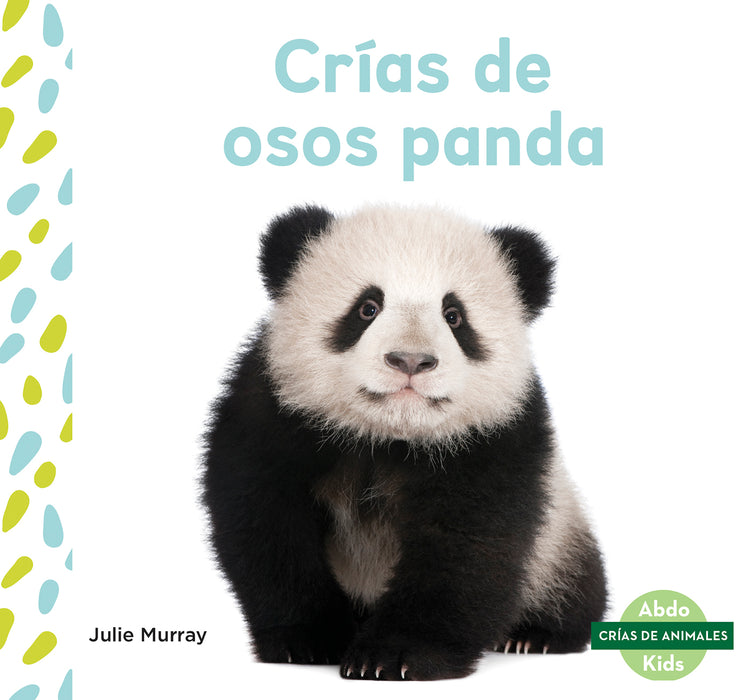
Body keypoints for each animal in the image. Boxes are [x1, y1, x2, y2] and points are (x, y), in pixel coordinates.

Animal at [203, 204, 607, 681]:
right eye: (367, 308)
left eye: (454, 315)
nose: (410, 360)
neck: (388, 436)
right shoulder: (274, 413)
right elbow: (266, 522)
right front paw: (307, 639)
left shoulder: (495, 437)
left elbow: (465, 544)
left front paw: (395, 656)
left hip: (558, 539)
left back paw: (535, 635)